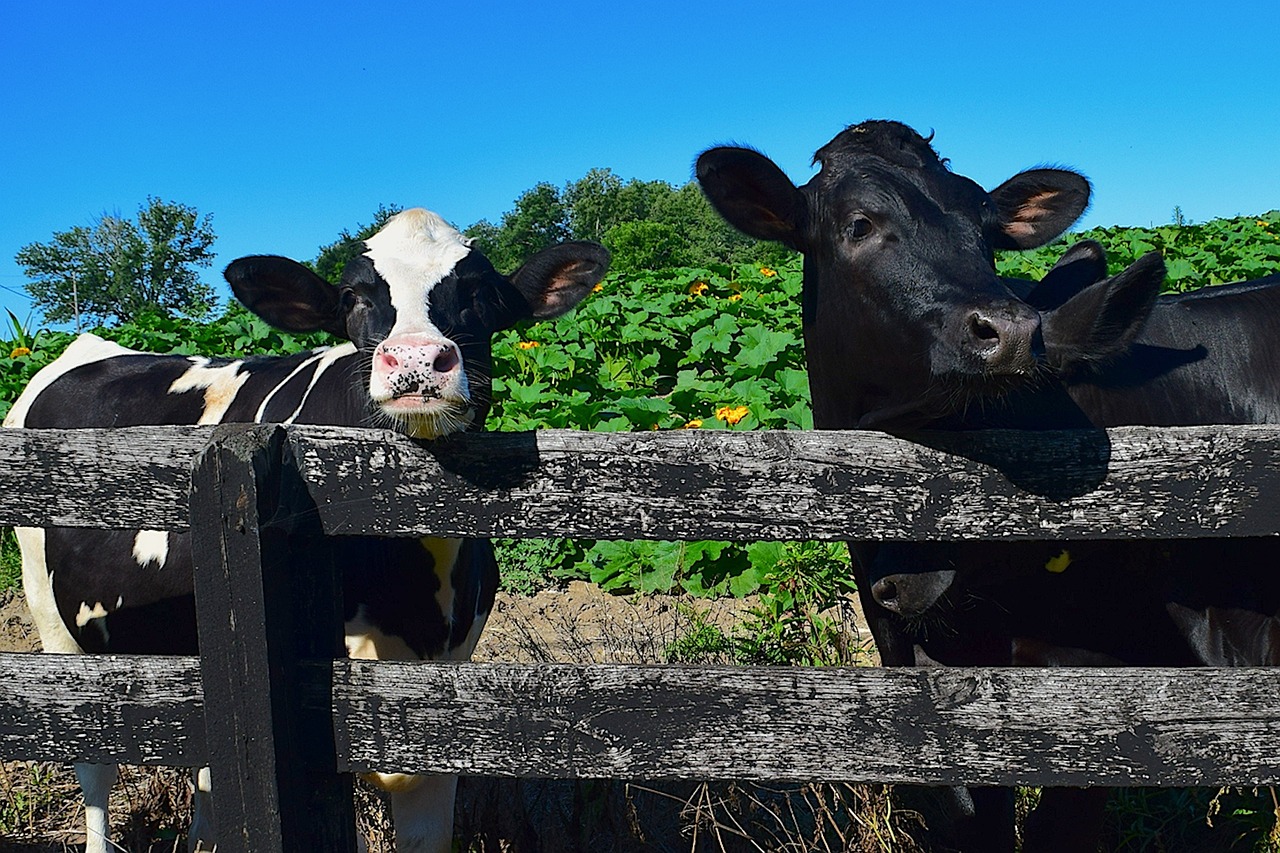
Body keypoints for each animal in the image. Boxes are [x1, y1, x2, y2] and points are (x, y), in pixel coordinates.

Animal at [3, 207, 610, 853]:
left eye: (482, 294)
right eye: (352, 297)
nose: (417, 359)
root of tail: (90, 345)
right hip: (53, 621)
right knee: (95, 764)